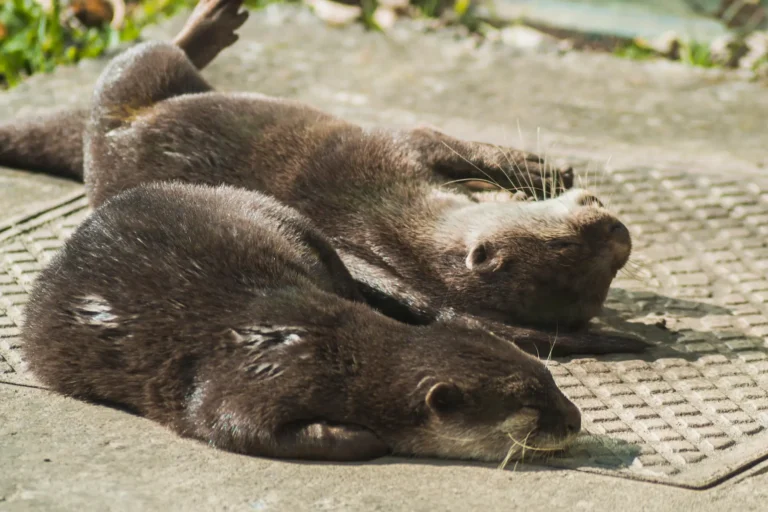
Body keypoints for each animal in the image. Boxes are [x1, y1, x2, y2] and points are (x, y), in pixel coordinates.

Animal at [0, 0, 644, 356]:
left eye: (604, 270)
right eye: (567, 238)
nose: (618, 231)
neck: (394, 222)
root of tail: (98, 140)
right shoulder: (396, 152)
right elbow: (441, 139)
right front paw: (534, 168)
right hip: (134, 84)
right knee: (151, 54)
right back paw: (212, 22)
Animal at [21, 182, 580, 462]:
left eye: (549, 378)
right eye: (529, 404)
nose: (574, 419)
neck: (331, 347)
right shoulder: (242, 384)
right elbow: (232, 426)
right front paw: (366, 439)